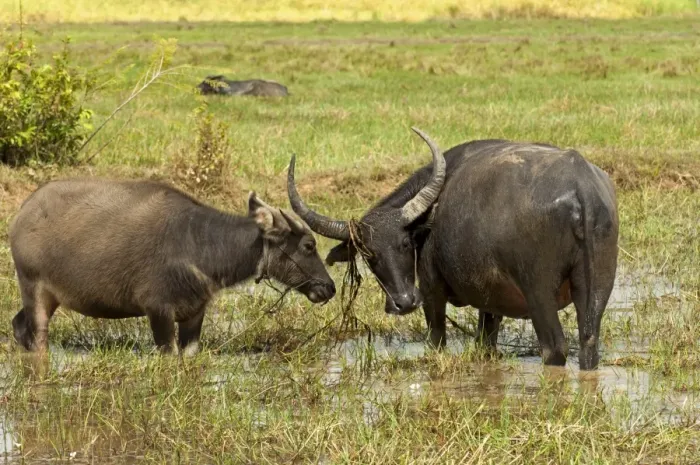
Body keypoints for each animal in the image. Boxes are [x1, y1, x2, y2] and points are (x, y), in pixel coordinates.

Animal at [8, 179, 335, 355]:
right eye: (309, 245)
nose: (328, 287)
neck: (199, 244)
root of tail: (24, 211)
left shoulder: (194, 315)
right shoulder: (159, 312)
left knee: (19, 326)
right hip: (33, 289)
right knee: (37, 338)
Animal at [287, 127, 619, 370]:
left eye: (405, 243)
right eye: (370, 256)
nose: (403, 302)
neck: (428, 218)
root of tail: (581, 188)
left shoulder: (431, 290)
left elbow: (436, 338)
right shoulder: (490, 298)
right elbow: (485, 341)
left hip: (538, 291)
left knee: (554, 348)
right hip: (598, 286)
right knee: (588, 341)